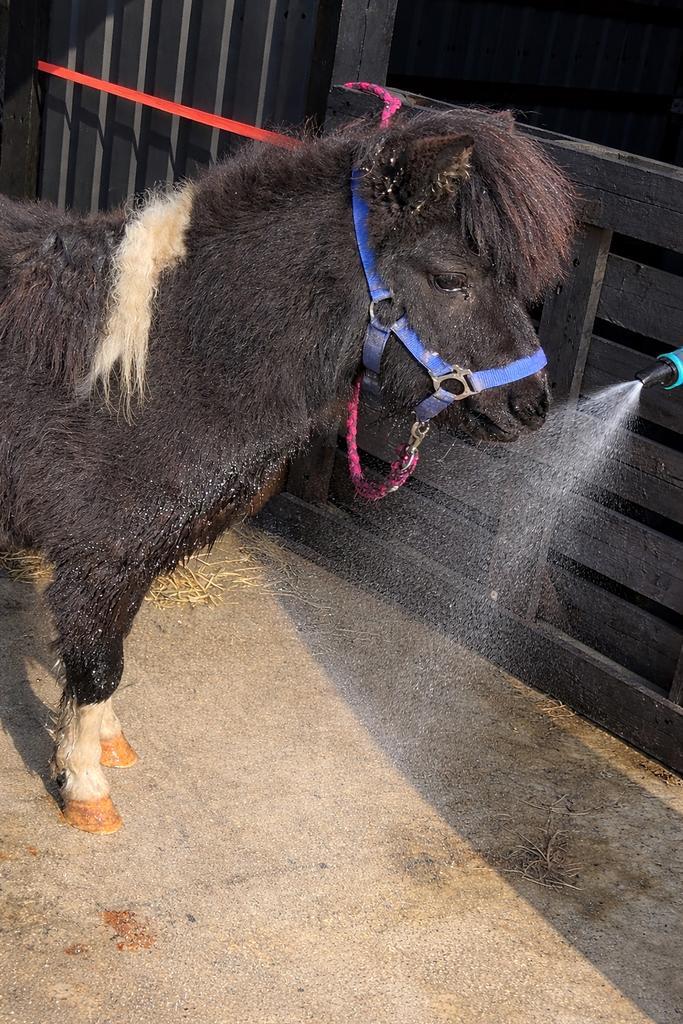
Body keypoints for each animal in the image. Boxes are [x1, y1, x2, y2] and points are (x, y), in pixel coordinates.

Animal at [0, 105, 575, 833]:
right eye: (451, 279)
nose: (534, 404)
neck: (168, 359)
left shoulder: (128, 561)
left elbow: (101, 665)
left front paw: (107, 744)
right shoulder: (101, 558)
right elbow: (98, 663)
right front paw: (85, 789)